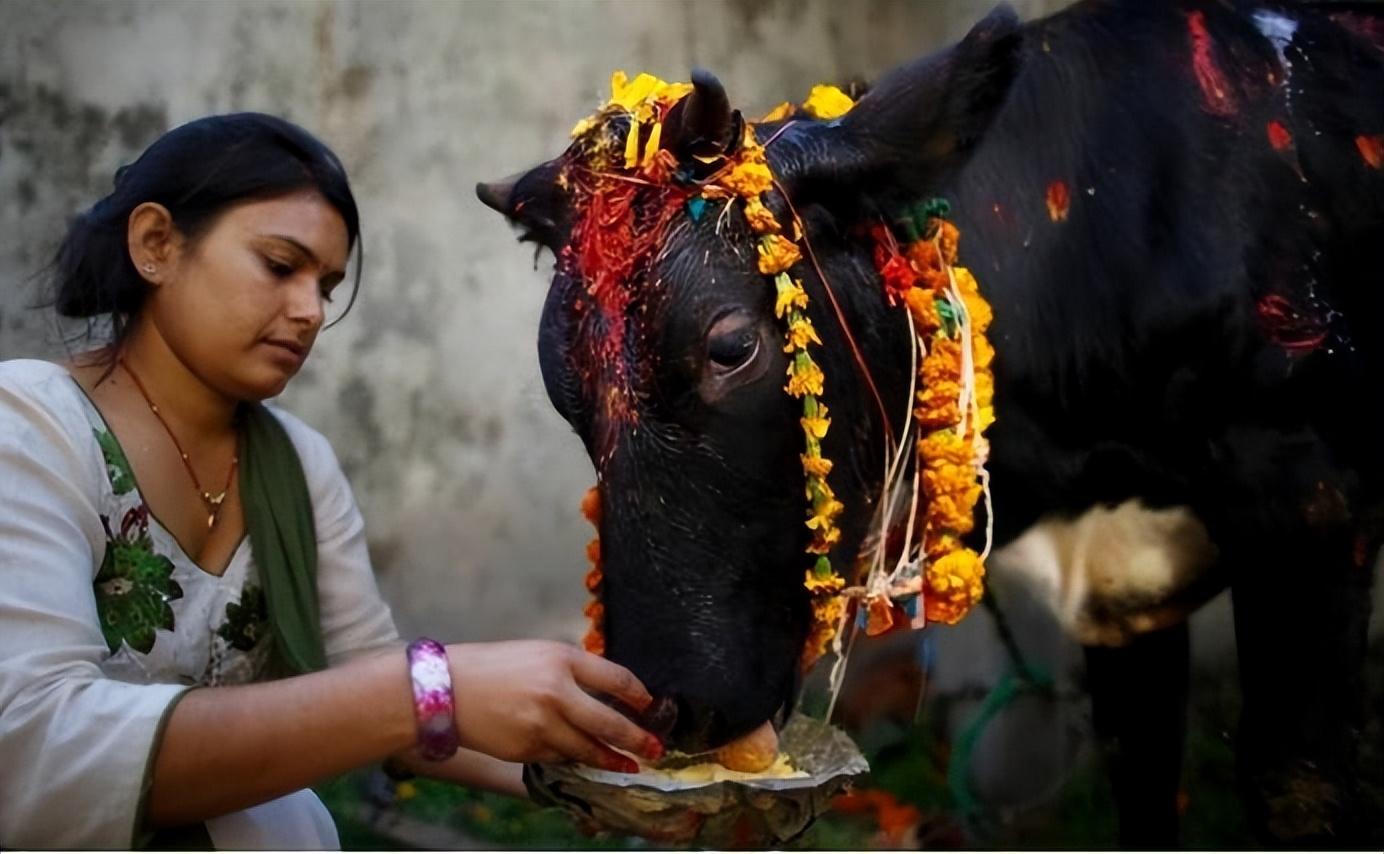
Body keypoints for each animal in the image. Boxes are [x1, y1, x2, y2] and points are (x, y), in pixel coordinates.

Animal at [478, 0, 1384, 841]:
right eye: (561, 387)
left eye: (731, 347)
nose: (666, 705)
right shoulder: (1127, 590)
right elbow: (1142, 767)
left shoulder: (1311, 499)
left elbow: (1297, 785)